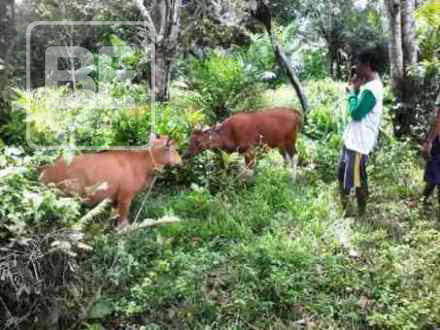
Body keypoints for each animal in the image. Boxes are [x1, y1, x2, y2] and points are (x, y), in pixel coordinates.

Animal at [39, 135, 180, 231]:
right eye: (174, 149)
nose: (181, 161)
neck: (144, 163)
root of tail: (44, 170)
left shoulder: (115, 198)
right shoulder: (126, 196)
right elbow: (123, 221)